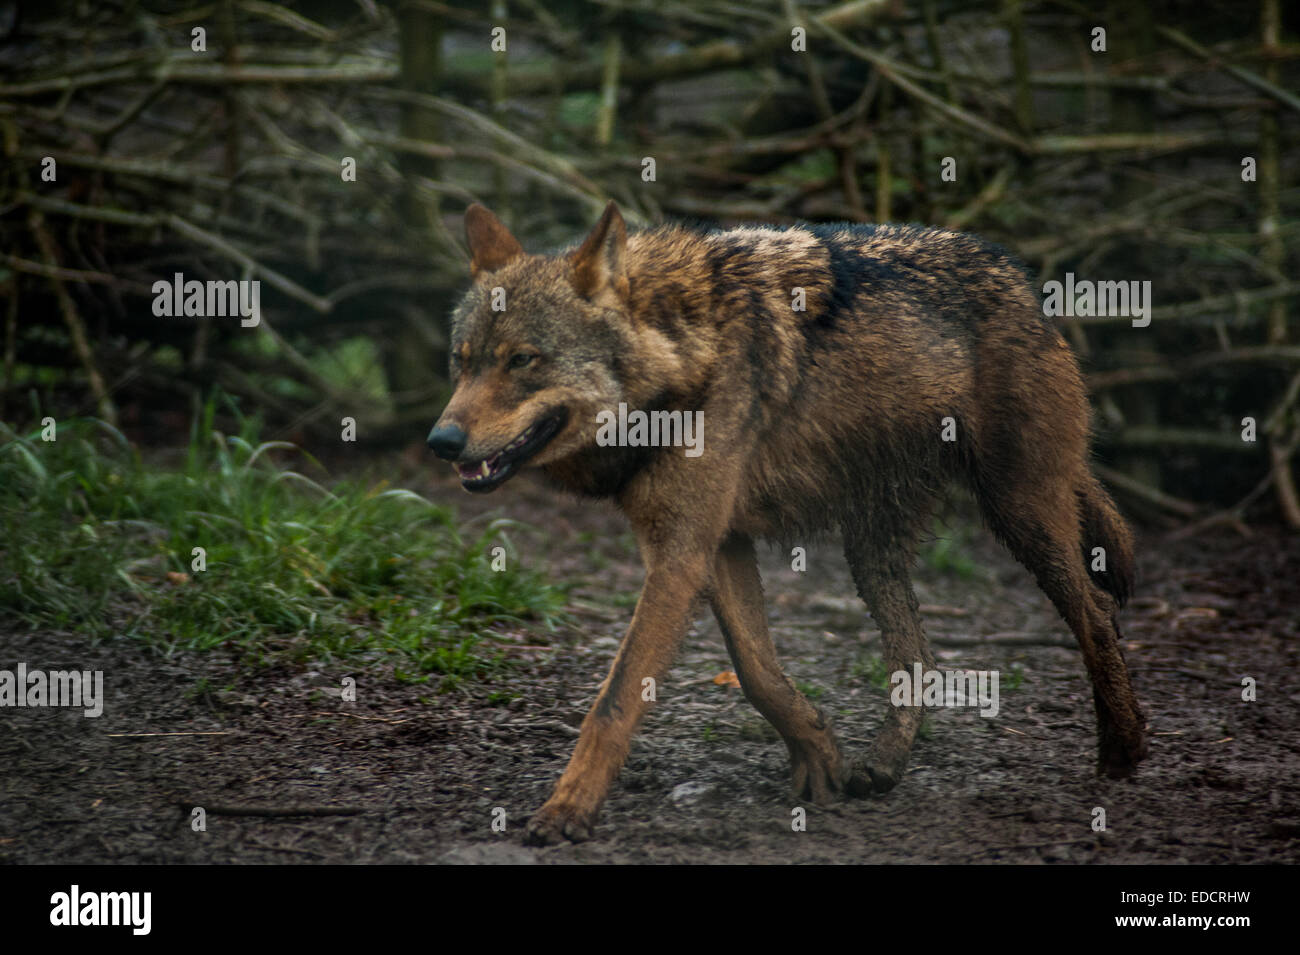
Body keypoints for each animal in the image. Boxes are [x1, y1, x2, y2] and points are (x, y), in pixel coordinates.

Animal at [428, 201, 1148, 845]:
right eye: (463, 360)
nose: (441, 440)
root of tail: (1020, 278)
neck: (686, 357)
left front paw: (567, 811)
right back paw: (884, 764)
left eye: (523, 360)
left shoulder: (682, 551)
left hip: (1020, 513)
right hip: (872, 547)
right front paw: (821, 755)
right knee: (918, 651)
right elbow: (757, 670)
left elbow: (615, 698)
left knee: (1096, 615)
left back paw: (1124, 749)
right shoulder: (716, 544)